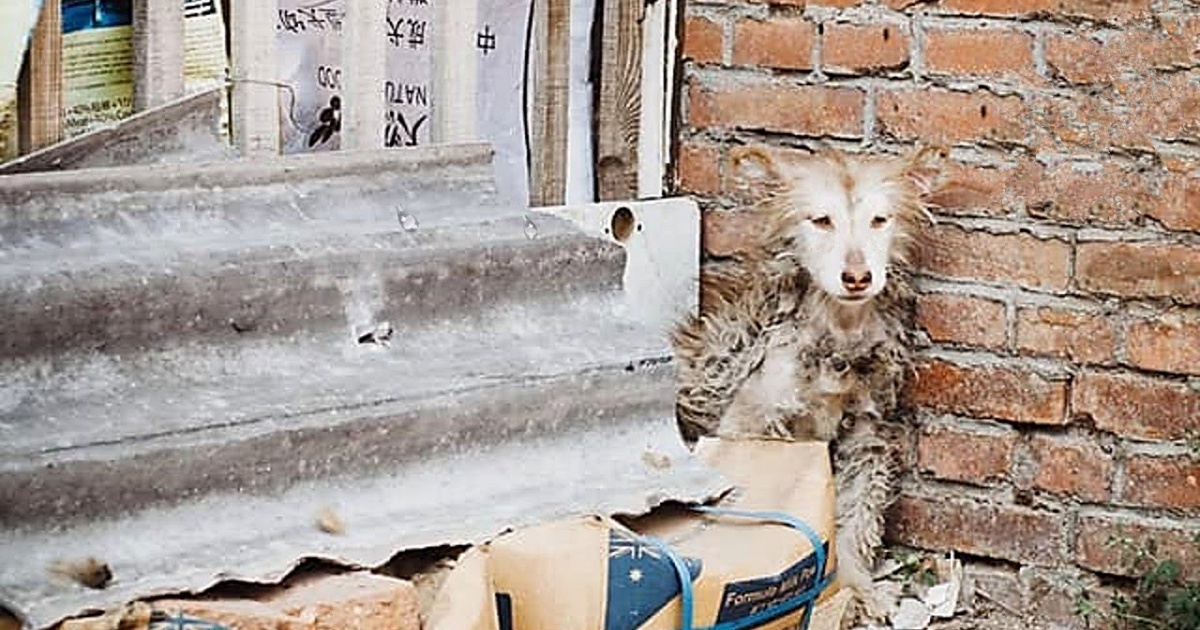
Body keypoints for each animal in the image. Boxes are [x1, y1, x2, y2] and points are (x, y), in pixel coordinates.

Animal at [672, 145, 940, 619]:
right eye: (821, 220)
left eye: (880, 220)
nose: (858, 277)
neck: (837, 332)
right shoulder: (750, 422)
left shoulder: (867, 435)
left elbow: (857, 517)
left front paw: (858, 587)